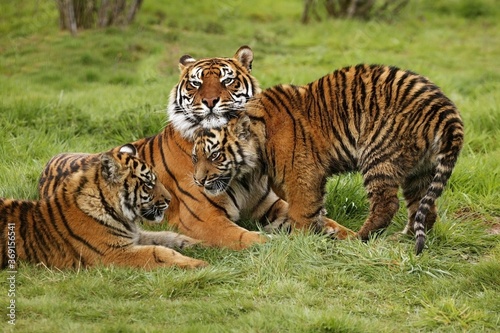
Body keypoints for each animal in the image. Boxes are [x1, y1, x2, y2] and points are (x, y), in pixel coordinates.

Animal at [0, 144, 206, 268]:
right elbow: (158, 251)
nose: (170, 200)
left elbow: (166, 237)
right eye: (148, 183)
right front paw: (199, 264)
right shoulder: (113, 253)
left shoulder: (132, 236)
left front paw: (200, 244)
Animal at [39, 46, 292, 249]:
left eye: (226, 81)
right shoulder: (203, 218)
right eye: (196, 84)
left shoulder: (269, 203)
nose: (210, 102)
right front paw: (278, 243)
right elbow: (248, 237)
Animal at [194, 63, 464, 253]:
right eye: (195, 157)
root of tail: (445, 109)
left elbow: (302, 211)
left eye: (215, 155)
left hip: (378, 156)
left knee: (387, 204)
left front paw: (297, 242)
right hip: (420, 170)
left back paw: (358, 239)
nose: (198, 181)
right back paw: (404, 237)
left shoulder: (303, 173)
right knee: (423, 208)